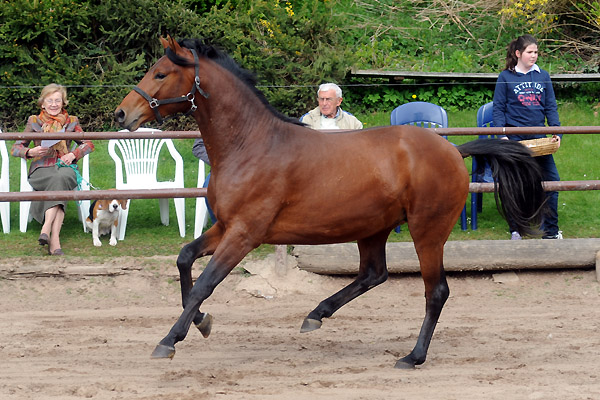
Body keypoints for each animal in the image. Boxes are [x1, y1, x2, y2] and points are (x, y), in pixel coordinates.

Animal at [115, 36, 548, 368]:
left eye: (161, 73)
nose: (122, 113)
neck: (250, 144)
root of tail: (454, 151)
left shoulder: (245, 234)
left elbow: (204, 284)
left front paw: (169, 340)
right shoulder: (225, 226)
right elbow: (185, 258)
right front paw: (201, 323)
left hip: (427, 231)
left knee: (435, 291)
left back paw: (413, 356)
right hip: (373, 228)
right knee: (374, 274)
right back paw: (315, 315)